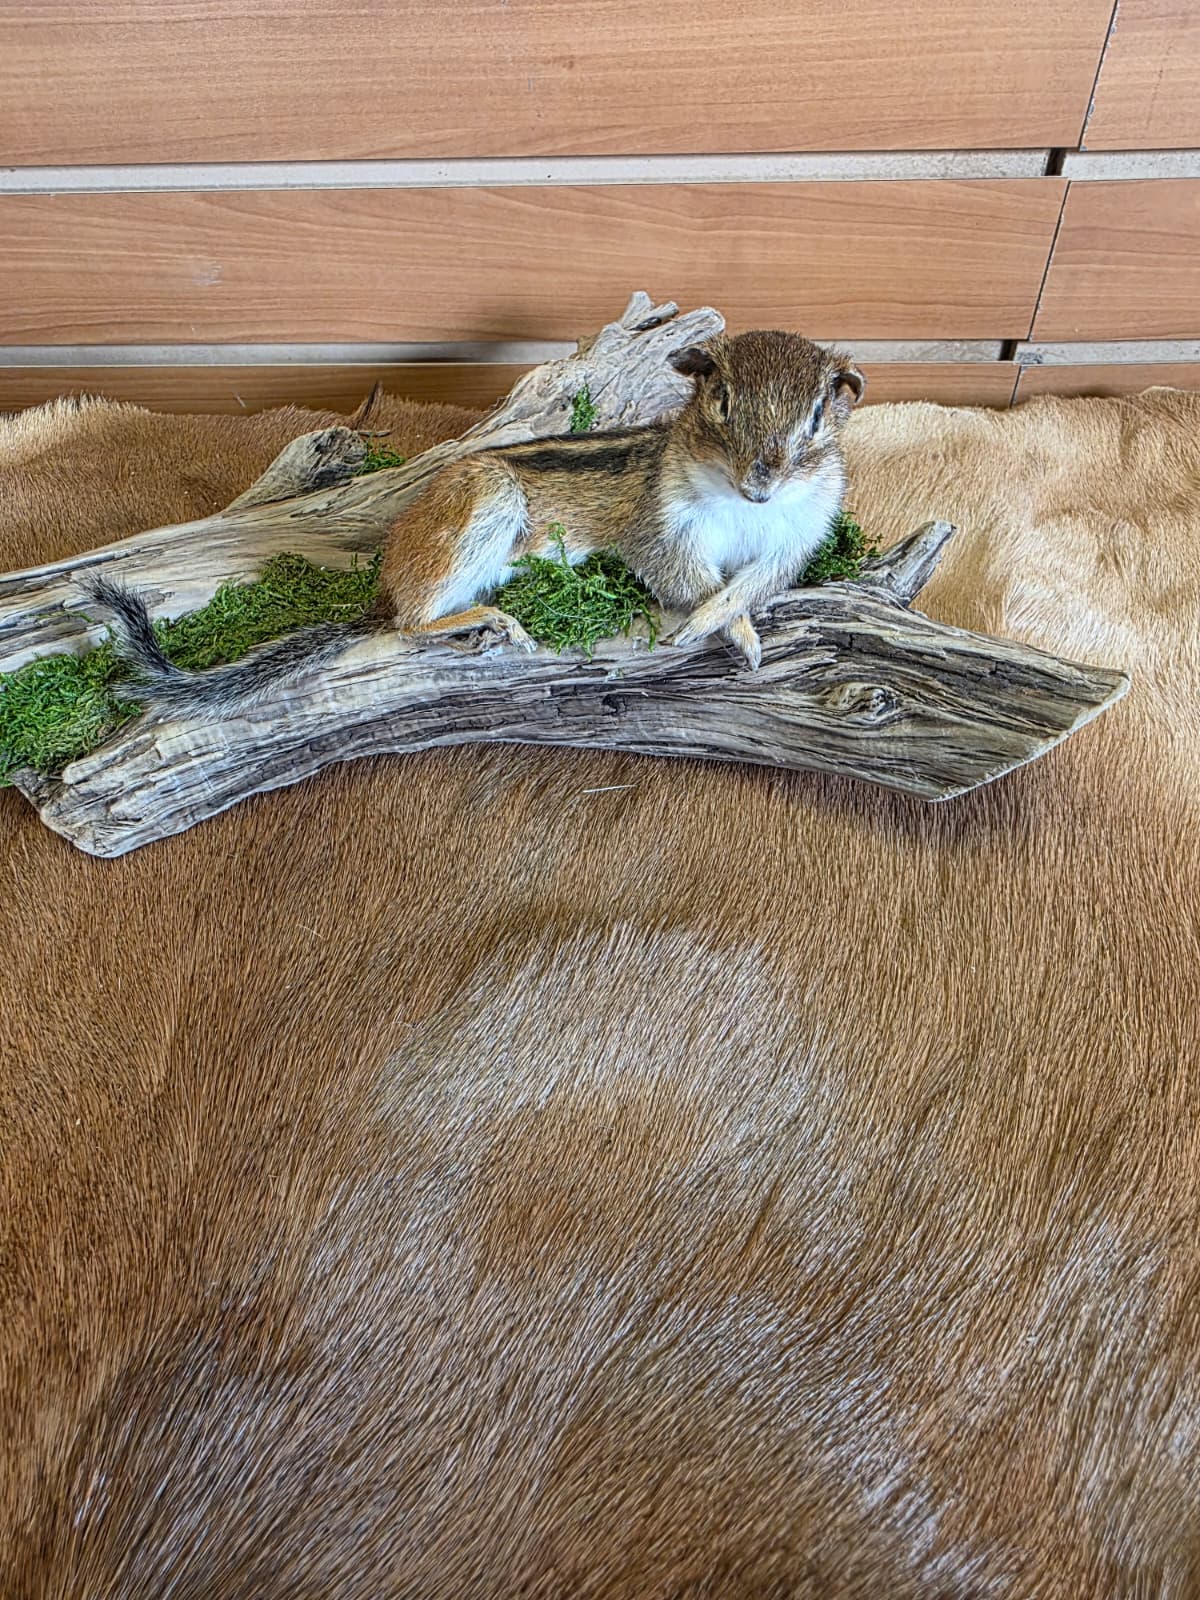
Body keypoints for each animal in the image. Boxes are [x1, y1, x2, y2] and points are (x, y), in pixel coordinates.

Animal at [84, 330, 865, 717]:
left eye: (817, 416)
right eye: (720, 402)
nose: (759, 483)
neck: (746, 509)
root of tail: (381, 591)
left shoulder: (796, 542)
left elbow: (751, 585)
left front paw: (740, 628)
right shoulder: (665, 527)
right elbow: (689, 579)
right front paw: (713, 625)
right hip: (482, 507)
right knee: (409, 624)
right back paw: (489, 617)